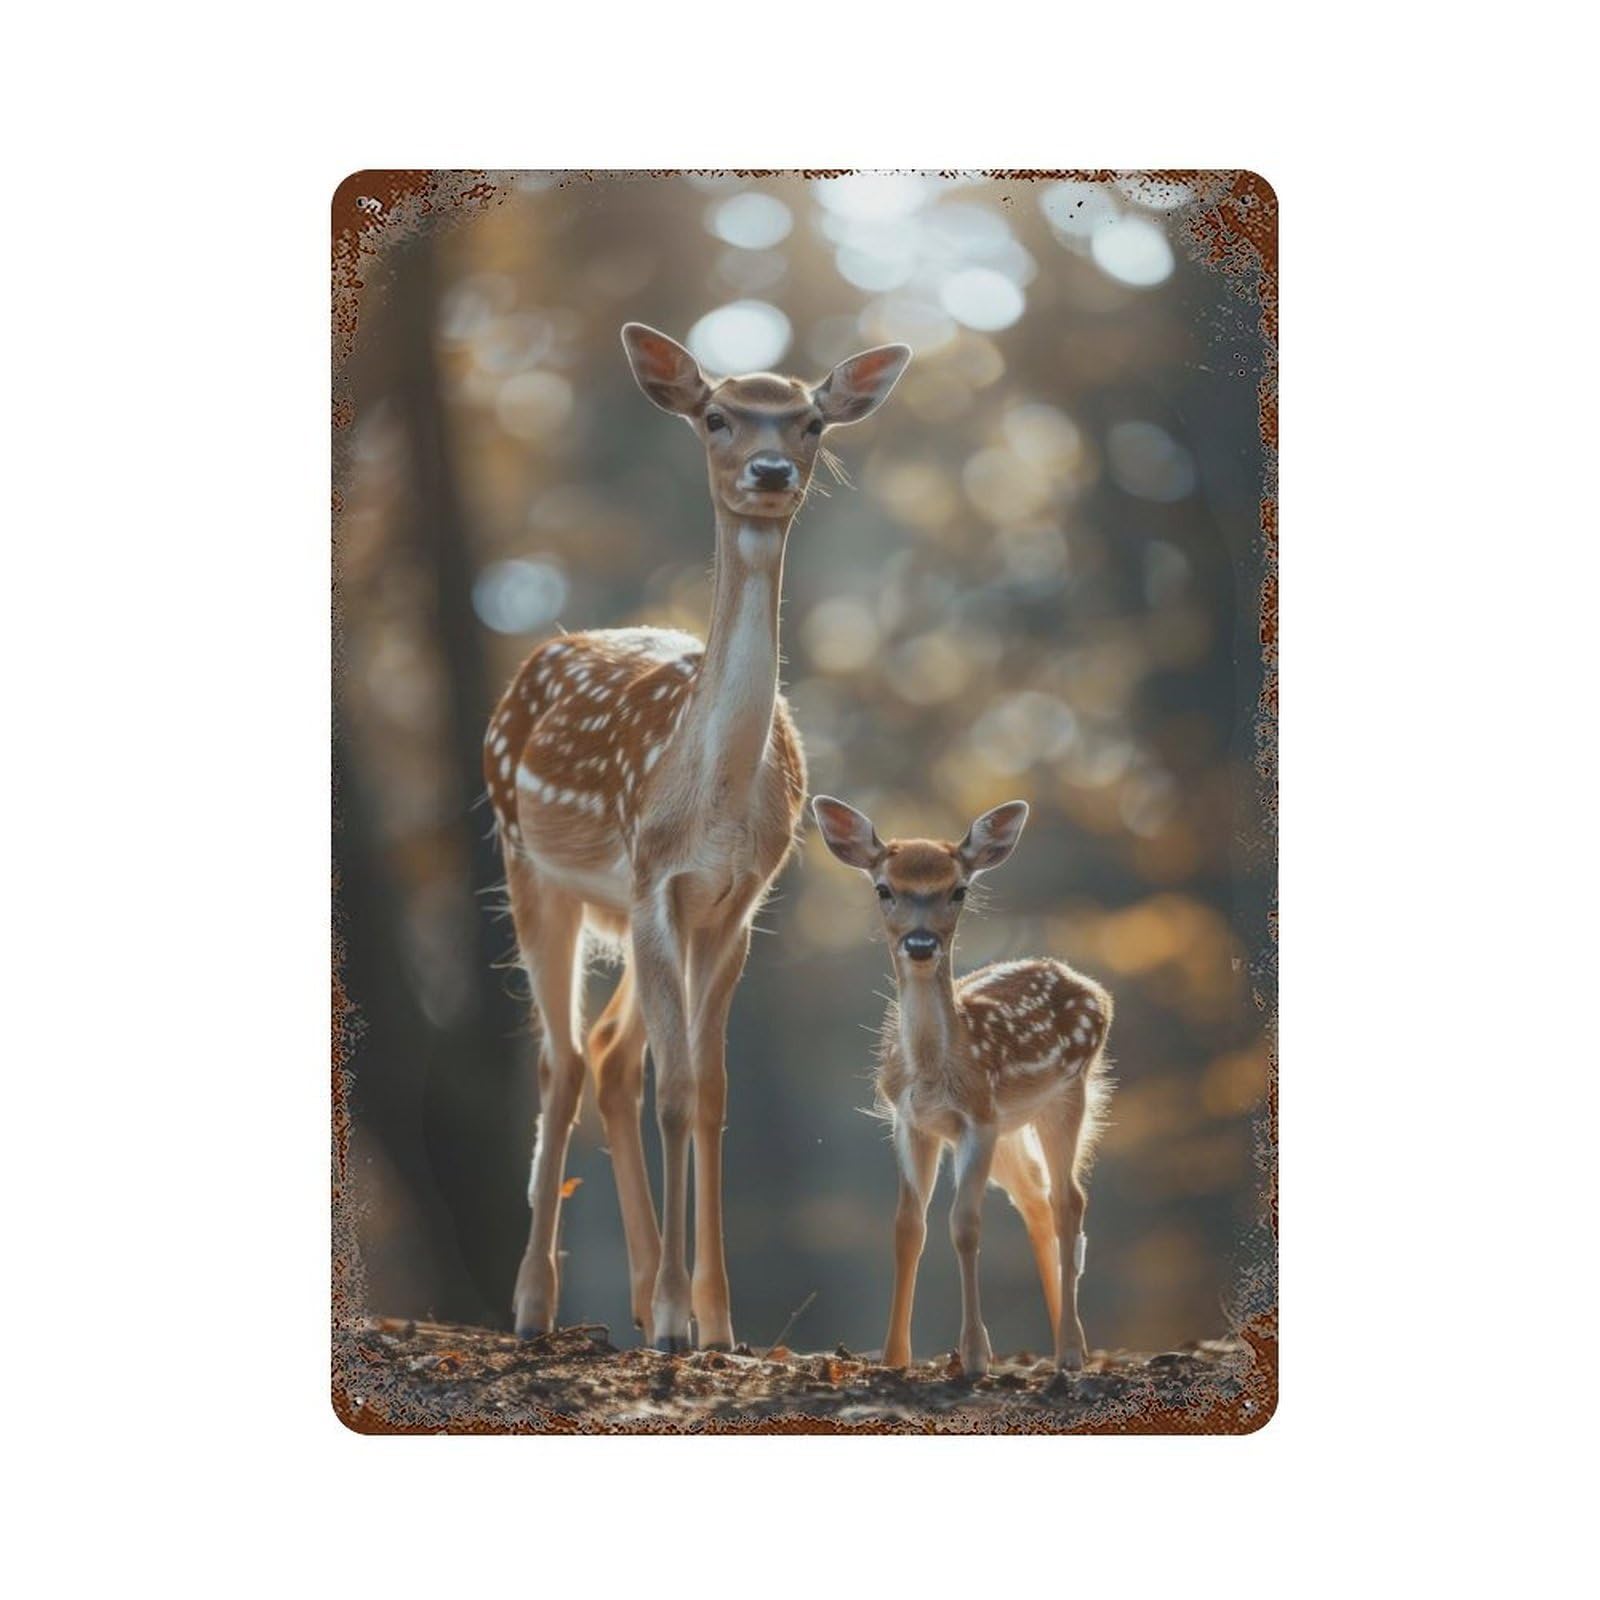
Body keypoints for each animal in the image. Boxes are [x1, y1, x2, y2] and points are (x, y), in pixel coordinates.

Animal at [482, 323, 911, 1351]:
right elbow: (675, 1091)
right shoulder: (654, 883)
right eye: (717, 415)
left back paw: (641, 1299)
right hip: (531, 866)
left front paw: (714, 1322)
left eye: (809, 419)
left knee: (609, 1057)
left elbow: (708, 1094)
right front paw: (683, 1318)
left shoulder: (731, 904)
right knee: (562, 1060)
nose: (769, 469)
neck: (711, 802)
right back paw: (536, 1305)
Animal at [811, 795, 1113, 1376]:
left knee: (1069, 1200)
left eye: (958, 890)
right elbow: (908, 1227)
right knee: (1035, 1200)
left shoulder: (978, 1118)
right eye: (884, 888)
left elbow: (965, 1225)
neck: (937, 1071)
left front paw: (974, 1356)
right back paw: (1066, 1343)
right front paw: (894, 1357)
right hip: (1013, 1128)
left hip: (1068, 1094)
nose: (920, 943)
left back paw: (1070, 1351)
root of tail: (1093, 989)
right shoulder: (913, 1122)